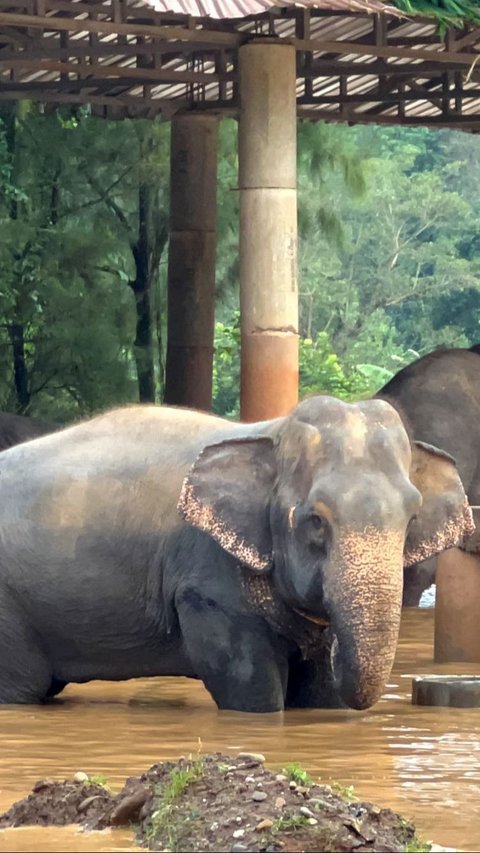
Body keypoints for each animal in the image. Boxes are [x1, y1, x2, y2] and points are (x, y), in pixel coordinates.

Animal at [0, 398, 472, 712]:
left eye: (412, 517)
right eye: (315, 520)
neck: (272, 431)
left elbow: (319, 693)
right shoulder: (207, 577)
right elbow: (250, 684)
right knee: (20, 688)